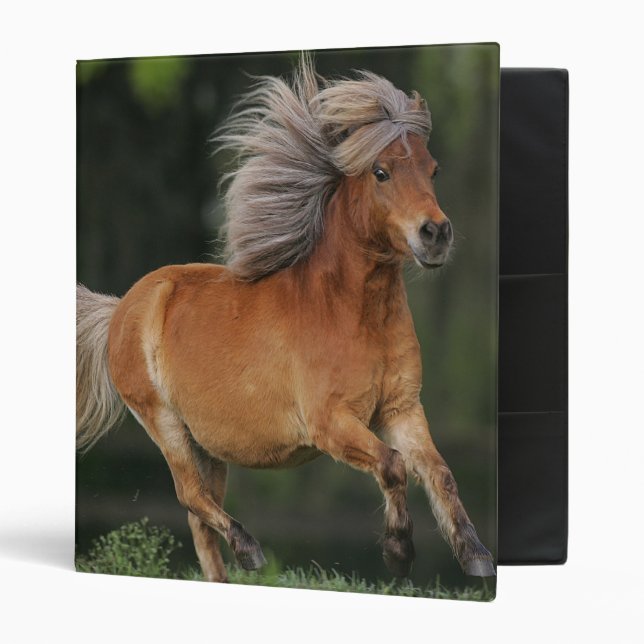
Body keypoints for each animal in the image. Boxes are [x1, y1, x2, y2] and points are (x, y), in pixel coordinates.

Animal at [76, 55, 495, 582]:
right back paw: (250, 549)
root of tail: (121, 308)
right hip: (162, 420)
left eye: (432, 169)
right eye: (380, 171)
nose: (435, 233)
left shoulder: (401, 409)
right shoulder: (331, 423)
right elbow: (394, 465)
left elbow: (439, 472)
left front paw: (476, 556)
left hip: (206, 443)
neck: (354, 316)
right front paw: (399, 551)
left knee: (200, 520)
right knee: (190, 496)